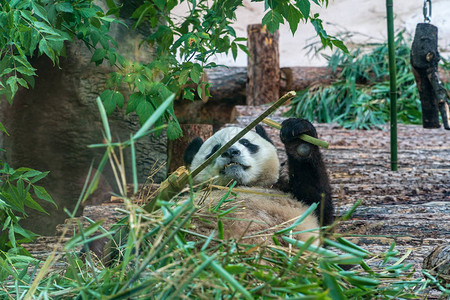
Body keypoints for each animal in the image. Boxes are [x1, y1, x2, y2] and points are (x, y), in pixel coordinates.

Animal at [183, 118, 334, 246]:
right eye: (215, 149)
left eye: (245, 142)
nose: (231, 151)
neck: (240, 185)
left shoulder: (287, 191)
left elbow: (318, 204)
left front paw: (299, 139)